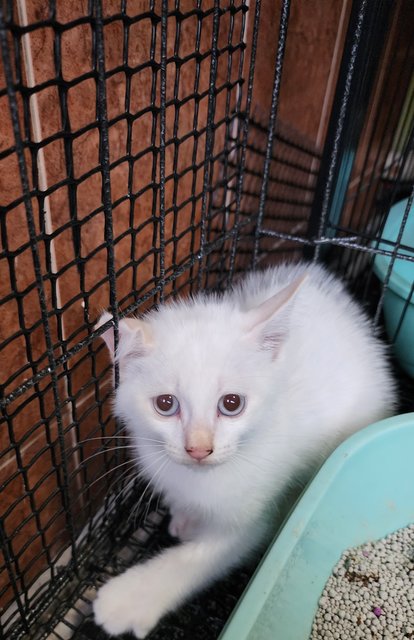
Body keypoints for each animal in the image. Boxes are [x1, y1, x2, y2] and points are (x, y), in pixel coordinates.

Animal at [92, 262, 396, 636]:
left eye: (232, 404)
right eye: (165, 404)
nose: (198, 449)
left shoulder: (261, 516)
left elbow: (204, 555)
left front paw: (128, 599)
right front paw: (186, 517)